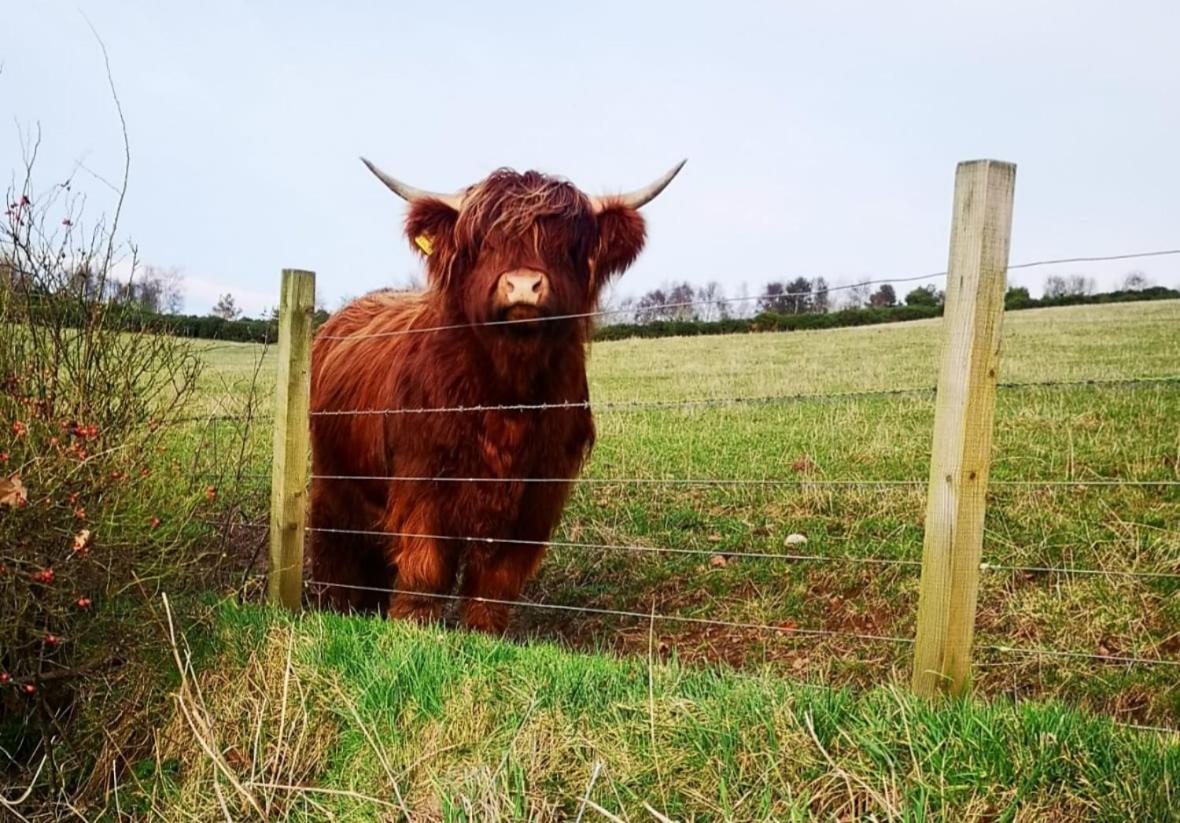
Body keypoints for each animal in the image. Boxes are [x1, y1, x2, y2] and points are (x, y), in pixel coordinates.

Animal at [309, 155, 689, 628]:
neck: (509, 395)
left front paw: (482, 631)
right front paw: (411, 624)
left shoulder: (539, 494)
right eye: (484, 242)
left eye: (568, 245)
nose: (523, 285)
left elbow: (497, 580)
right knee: (334, 546)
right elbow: (425, 570)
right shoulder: (422, 483)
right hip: (333, 480)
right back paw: (334, 605)